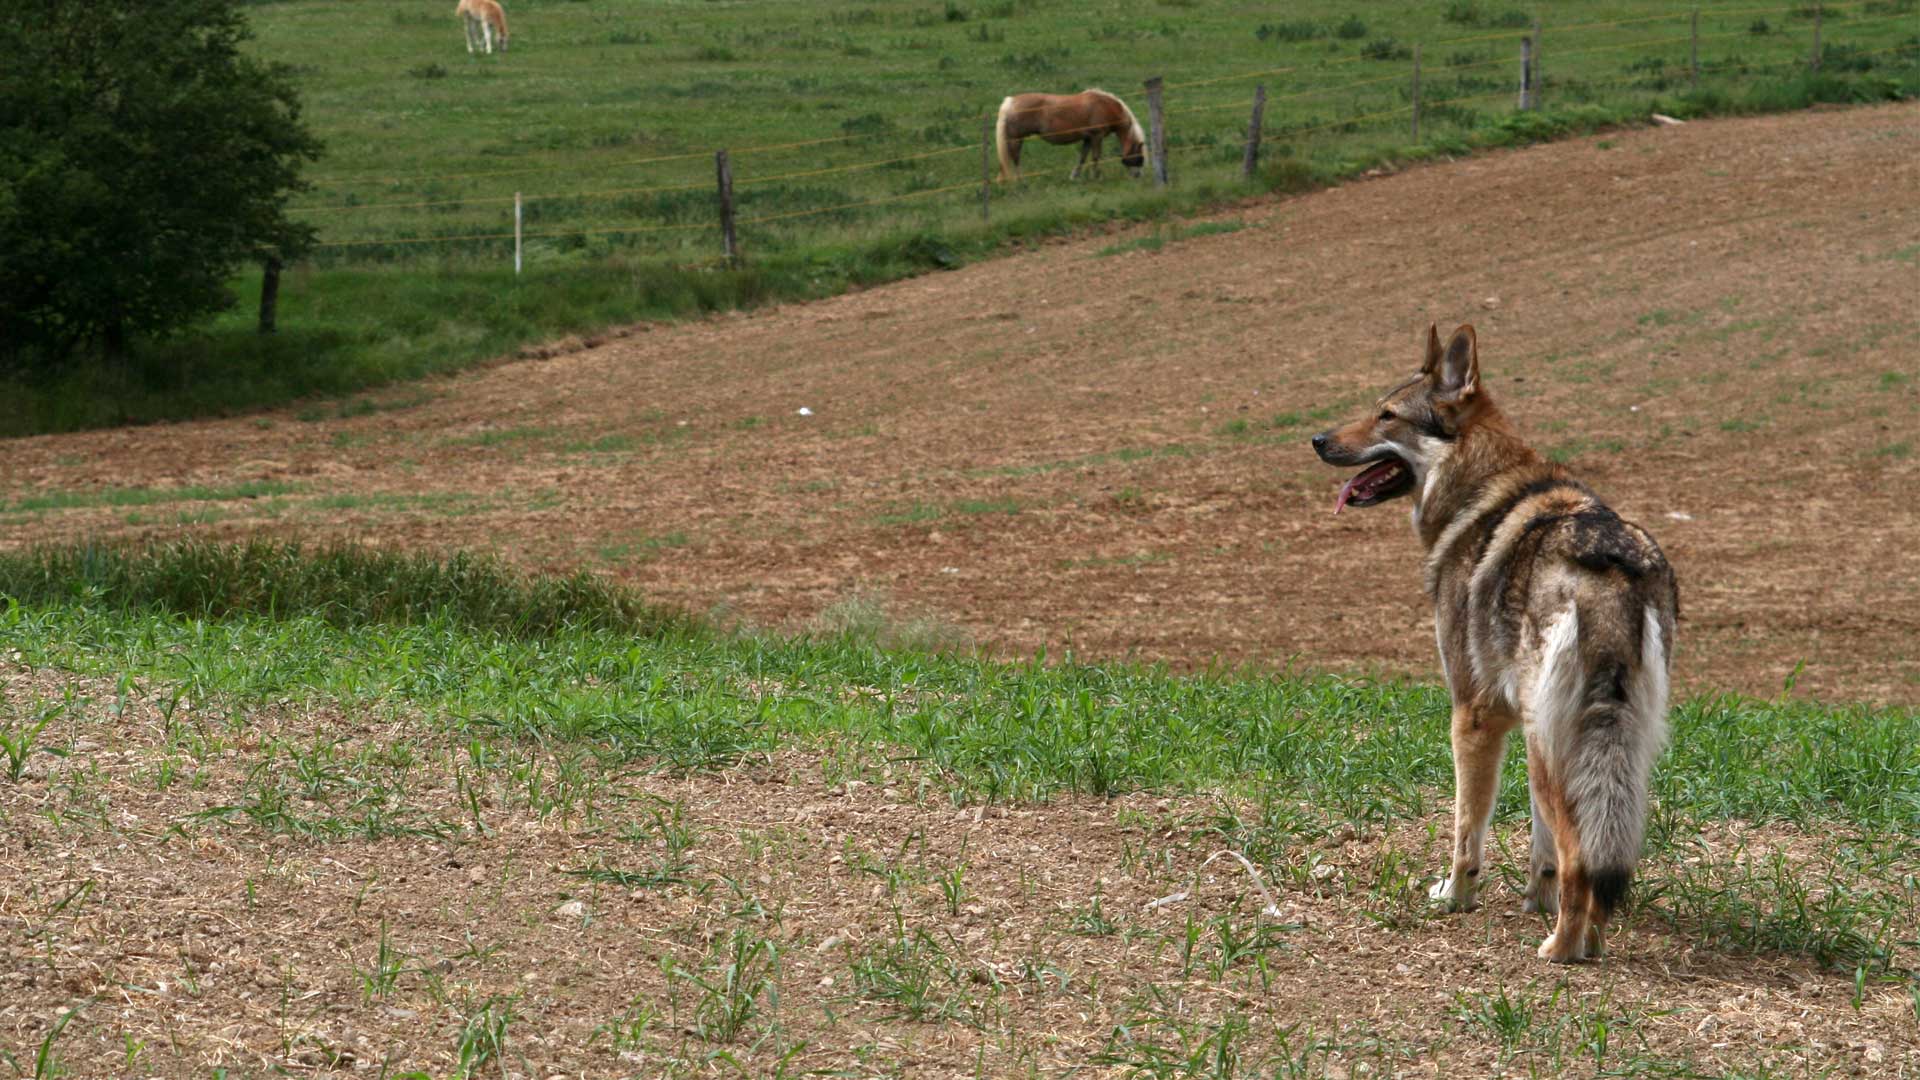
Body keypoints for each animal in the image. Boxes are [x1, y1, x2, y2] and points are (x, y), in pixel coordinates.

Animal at [998, 89, 1144, 181]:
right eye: (1138, 158)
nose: (1137, 176)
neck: (1104, 105)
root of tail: (1011, 102)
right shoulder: (1097, 136)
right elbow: (1096, 157)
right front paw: (1097, 176)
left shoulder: (1088, 138)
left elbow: (1083, 157)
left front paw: (1075, 176)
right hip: (1016, 139)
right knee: (1016, 159)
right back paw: (1022, 183)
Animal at [1313, 320, 1674, 957]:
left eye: (1386, 415)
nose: (1317, 440)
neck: (1478, 487)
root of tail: (1610, 566)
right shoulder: (1523, 724)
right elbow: (1539, 851)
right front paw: (1535, 902)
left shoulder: (1473, 716)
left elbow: (1466, 832)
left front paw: (1454, 898)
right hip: (1603, 747)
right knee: (1600, 850)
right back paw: (1590, 941)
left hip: (1554, 748)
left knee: (1580, 856)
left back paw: (1561, 952)